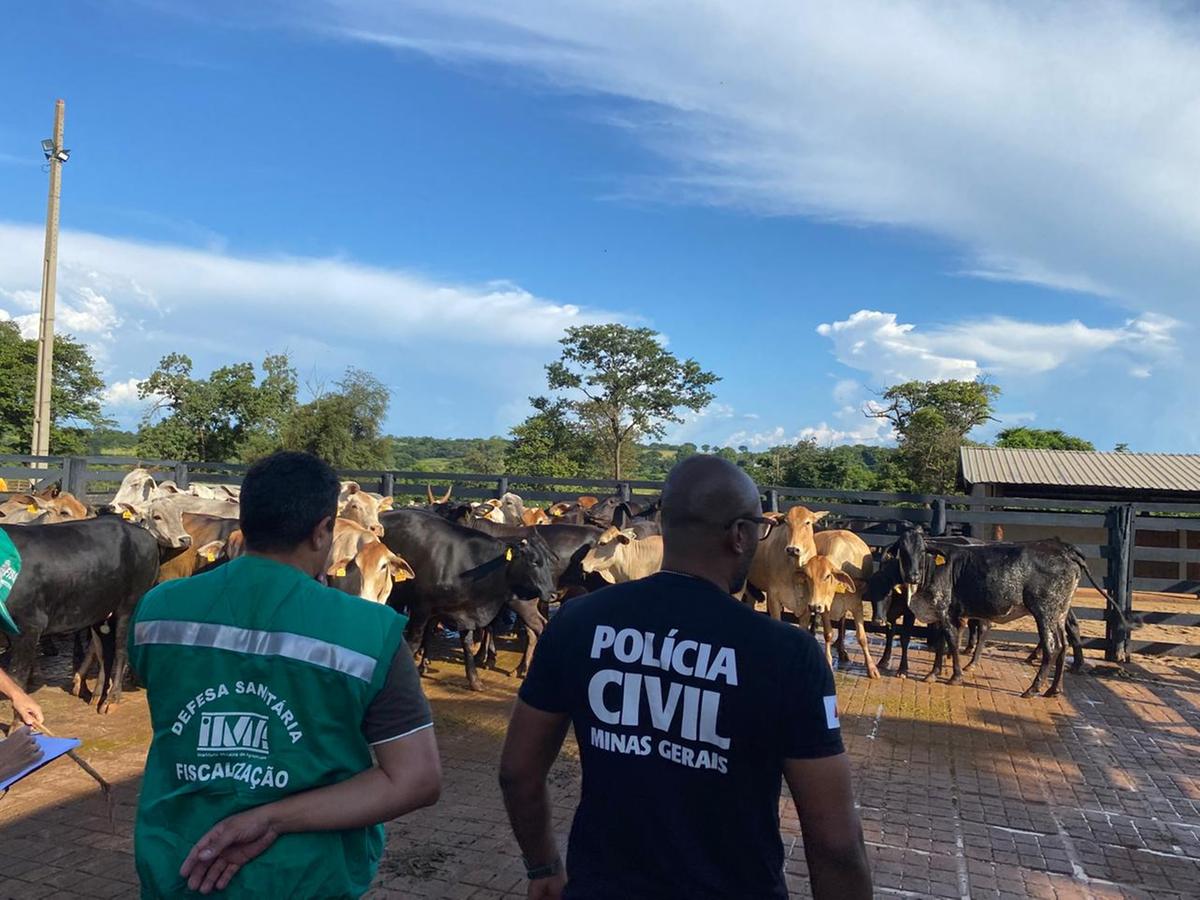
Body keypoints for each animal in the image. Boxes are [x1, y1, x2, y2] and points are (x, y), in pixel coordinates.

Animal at [1, 518, 158, 715]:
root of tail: (143, 533)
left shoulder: (29, 627)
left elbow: (18, 680)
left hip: (130, 605)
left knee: (121, 650)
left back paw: (111, 699)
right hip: (100, 610)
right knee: (104, 651)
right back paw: (97, 695)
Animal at [379, 511, 556, 696]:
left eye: (547, 561)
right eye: (534, 561)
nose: (552, 593)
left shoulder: (461, 611)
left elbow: (466, 643)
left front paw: (474, 680)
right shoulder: (424, 608)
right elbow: (415, 641)